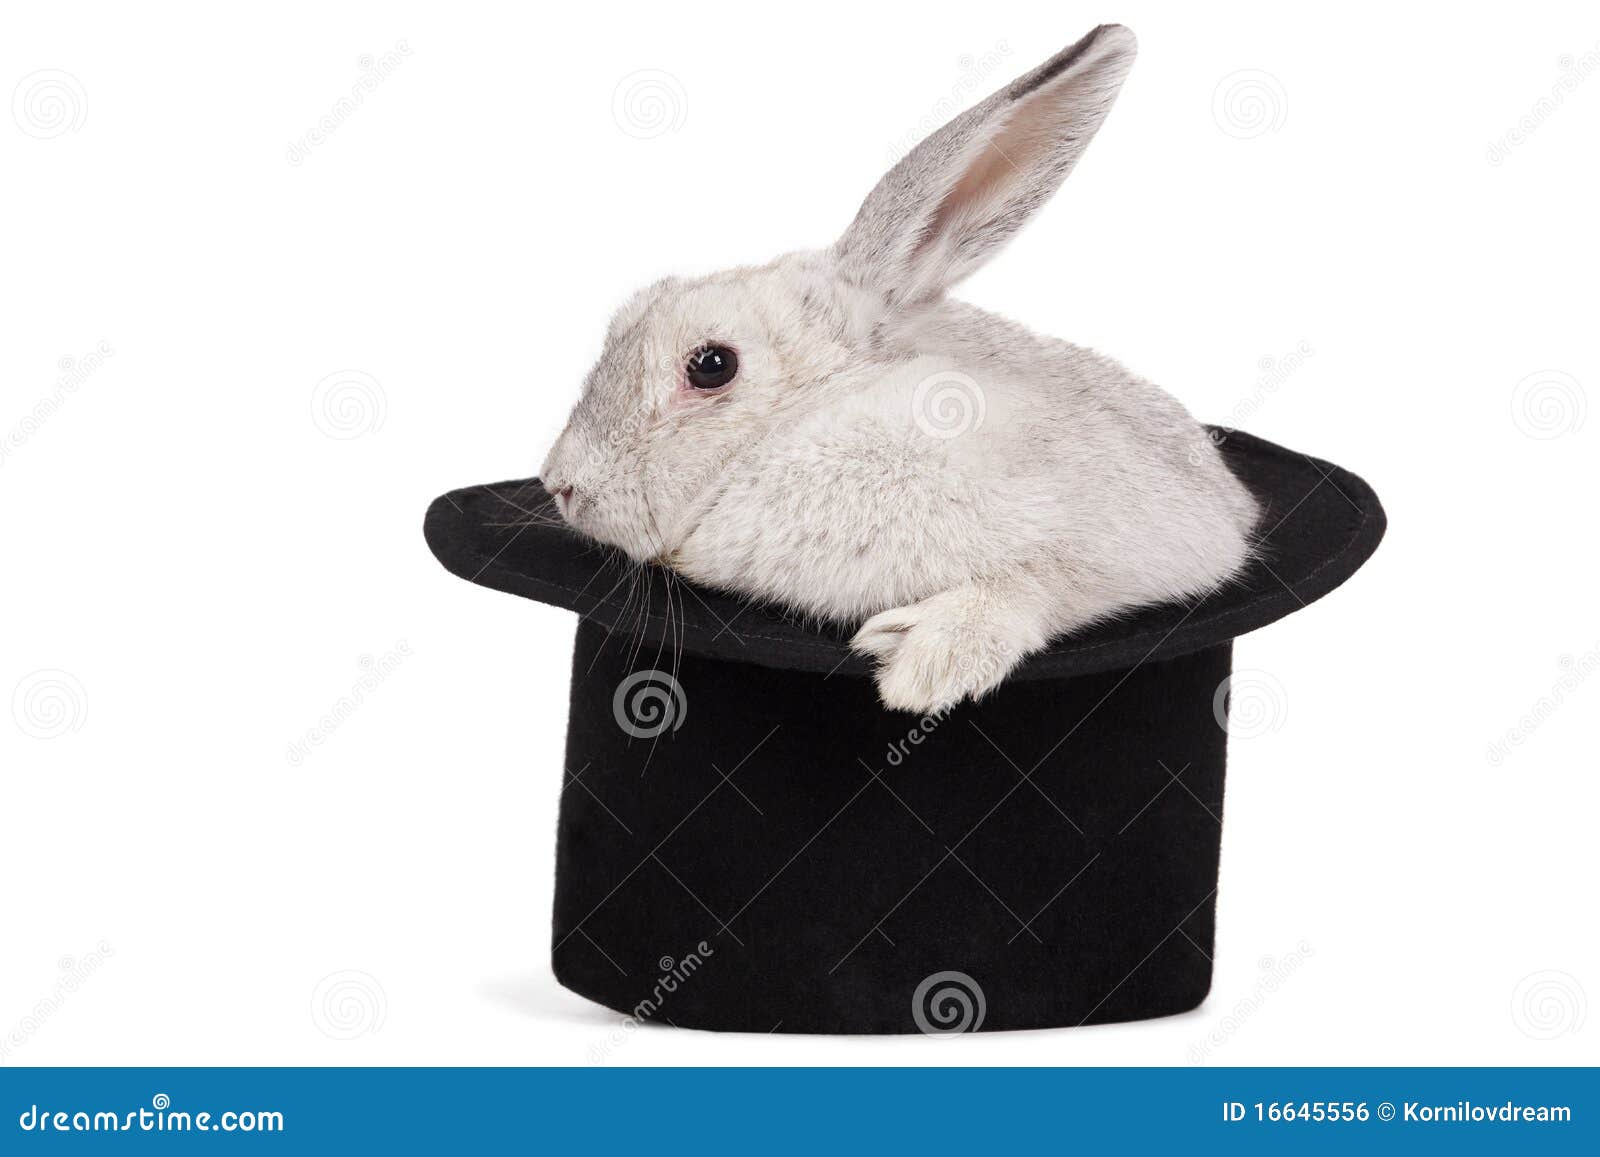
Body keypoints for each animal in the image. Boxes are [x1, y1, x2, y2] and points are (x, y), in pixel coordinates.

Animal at [541, 24, 1260, 714]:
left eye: (712, 365)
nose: (560, 482)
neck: (812, 414)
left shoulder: (1131, 537)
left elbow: (1041, 583)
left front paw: (930, 664)